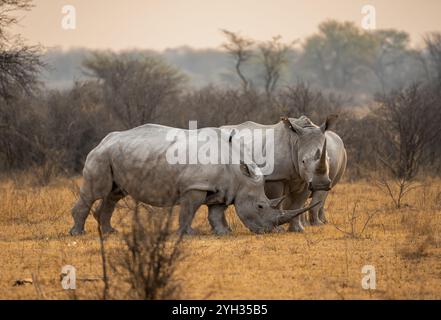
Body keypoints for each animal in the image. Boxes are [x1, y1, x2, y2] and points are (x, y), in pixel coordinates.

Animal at [69, 124, 316, 236]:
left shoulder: (224, 189)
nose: (270, 232)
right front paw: (188, 234)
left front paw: (224, 233)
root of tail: (103, 140)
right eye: (261, 206)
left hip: (115, 156)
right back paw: (78, 233)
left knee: (113, 195)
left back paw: (110, 233)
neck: (239, 172)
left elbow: (215, 212)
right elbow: (189, 210)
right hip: (101, 156)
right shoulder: (194, 186)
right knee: (95, 193)